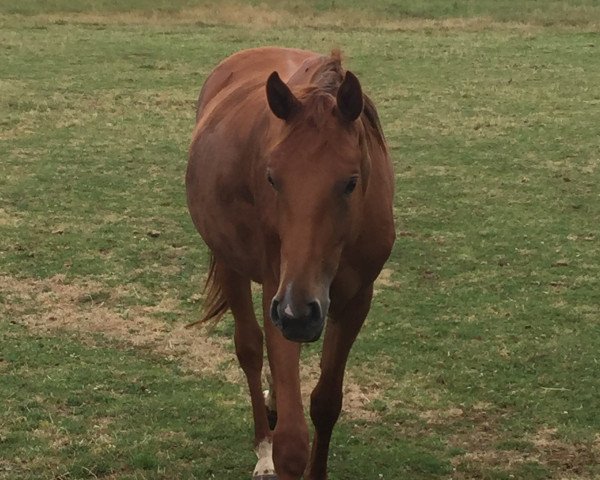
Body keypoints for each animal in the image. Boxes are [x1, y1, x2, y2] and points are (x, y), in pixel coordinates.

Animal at [186, 47, 394, 480]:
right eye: (272, 178)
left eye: (350, 182)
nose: (300, 313)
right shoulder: (277, 293)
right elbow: (293, 442)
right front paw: (277, 447)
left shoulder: (355, 302)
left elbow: (326, 403)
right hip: (233, 266)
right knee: (249, 349)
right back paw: (263, 445)